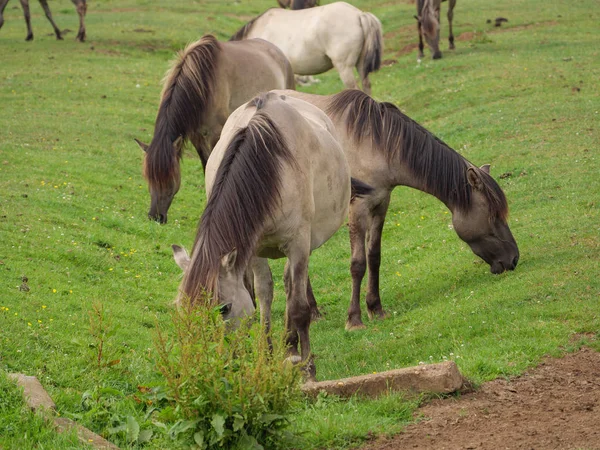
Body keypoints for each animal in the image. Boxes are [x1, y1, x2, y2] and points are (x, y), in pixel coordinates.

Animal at [135, 34, 296, 224]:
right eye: (148, 178)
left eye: (170, 179)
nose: (155, 217)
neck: (204, 82)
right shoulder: (197, 137)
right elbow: (206, 166)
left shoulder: (215, 134)